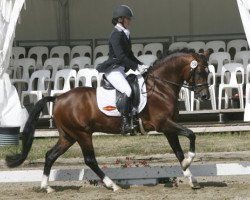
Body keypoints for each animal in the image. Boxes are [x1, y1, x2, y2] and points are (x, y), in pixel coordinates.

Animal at [5, 48, 209, 192]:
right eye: (200, 72)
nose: (205, 96)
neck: (160, 87)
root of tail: (58, 98)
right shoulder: (163, 124)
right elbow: (191, 135)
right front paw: (189, 162)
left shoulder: (168, 128)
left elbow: (178, 152)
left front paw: (191, 178)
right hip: (82, 134)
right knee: (90, 160)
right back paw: (113, 185)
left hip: (68, 136)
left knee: (50, 155)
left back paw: (46, 187)